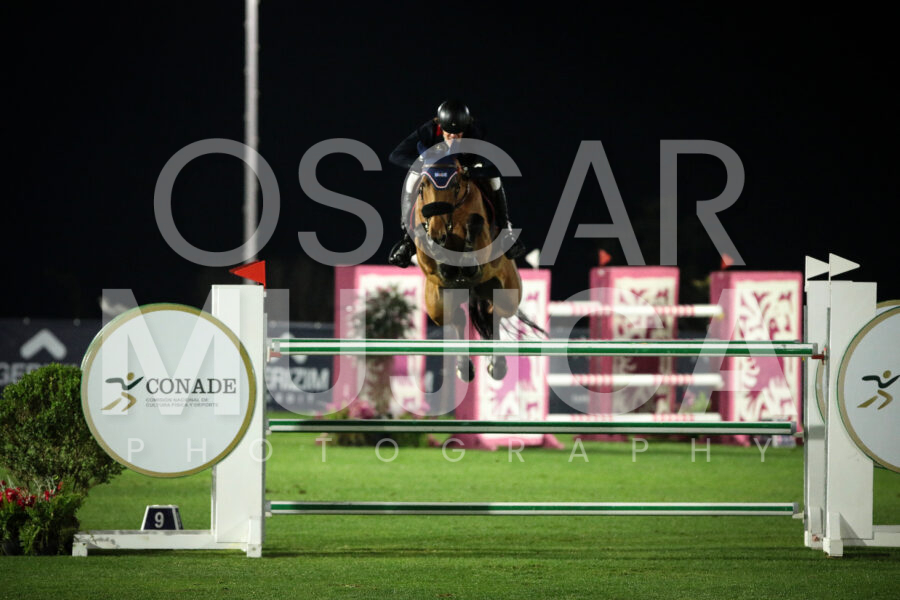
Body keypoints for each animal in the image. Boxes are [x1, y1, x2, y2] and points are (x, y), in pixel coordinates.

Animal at [410, 158, 535, 382]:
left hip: (508, 295)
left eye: (455, 186)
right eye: (423, 186)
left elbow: (474, 226)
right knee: (457, 318)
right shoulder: (427, 260)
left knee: (494, 314)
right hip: (436, 305)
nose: (437, 234)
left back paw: (497, 365)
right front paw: (441, 257)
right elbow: (427, 248)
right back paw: (464, 367)